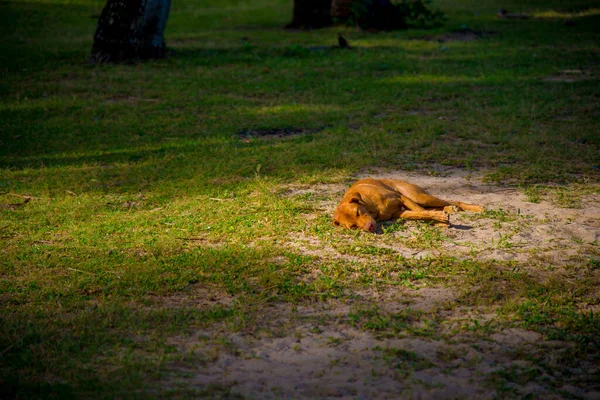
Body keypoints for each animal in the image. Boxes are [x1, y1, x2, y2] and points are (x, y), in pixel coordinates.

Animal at [332, 177, 482, 231]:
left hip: (418, 197)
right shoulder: (400, 212)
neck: (372, 208)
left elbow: (422, 211)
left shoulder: (402, 198)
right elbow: (419, 214)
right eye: (353, 227)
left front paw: (440, 220)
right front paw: (440, 220)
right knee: (437, 206)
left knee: (453, 200)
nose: (370, 227)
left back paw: (475, 207)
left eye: (357, 212)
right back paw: (449, 209)